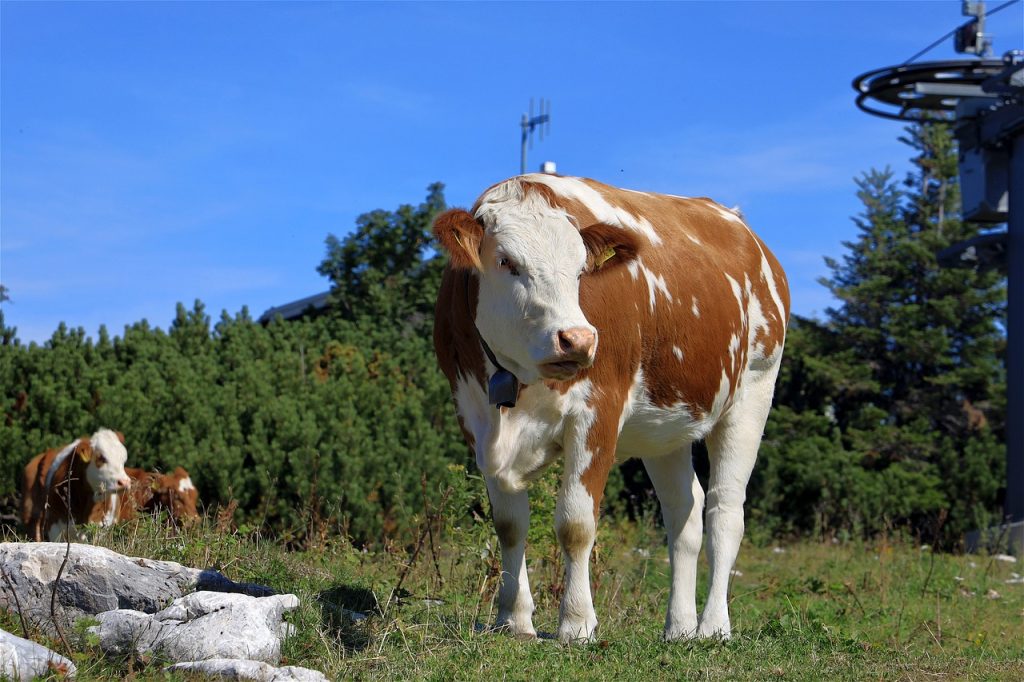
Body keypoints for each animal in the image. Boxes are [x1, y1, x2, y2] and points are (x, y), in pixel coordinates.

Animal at [432, 173, 790, 638]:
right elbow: (510, 525)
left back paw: (713, 627)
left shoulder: (598, 412)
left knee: (724, 512)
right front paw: (513, 619)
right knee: (684, 514)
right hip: (666, 423)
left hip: (753, 393)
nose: (577, 340)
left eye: (580, 269)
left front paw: (576, 623)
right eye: (507, 261)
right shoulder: (476, 419)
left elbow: (576, 523)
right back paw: (679, 628)